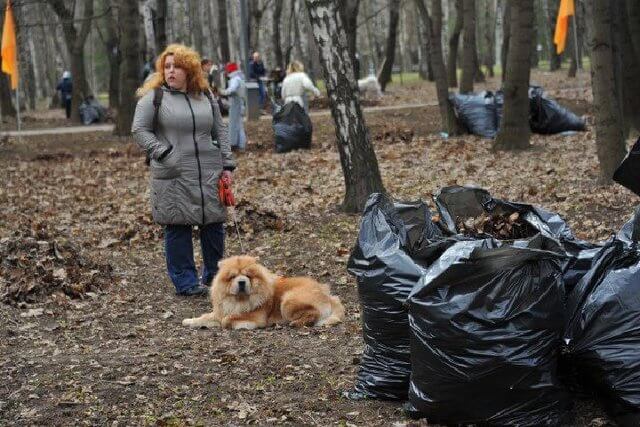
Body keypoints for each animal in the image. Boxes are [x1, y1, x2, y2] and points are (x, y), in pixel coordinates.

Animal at [181, 258, 344, 332]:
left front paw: (238, 325)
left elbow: (227, 320)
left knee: (313, 313)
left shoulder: (256, 316)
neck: (239, 300)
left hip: (288, 300)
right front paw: (189, 321)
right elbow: (205, 317)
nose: (242, 282)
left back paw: (296, 323)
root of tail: (327, 293)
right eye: (233, 277)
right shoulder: (221, 311)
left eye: (248, 276)